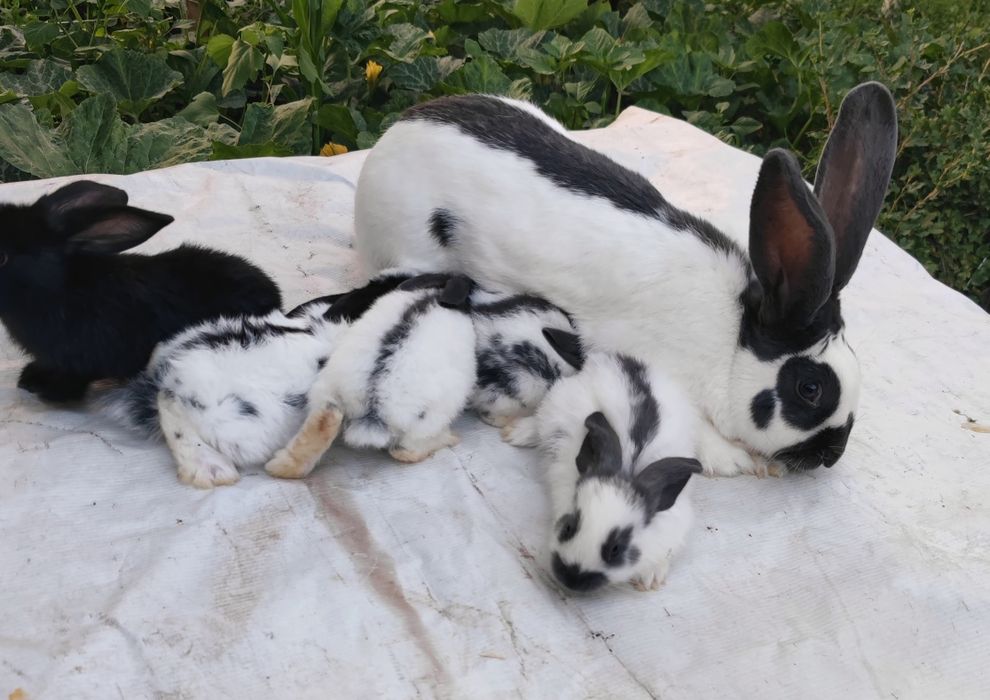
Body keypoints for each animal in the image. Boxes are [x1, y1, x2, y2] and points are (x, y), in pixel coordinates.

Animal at [264, 273, 477, 479]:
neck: (435, 294)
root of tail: (372, 408)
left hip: (327, 395)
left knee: (323, 424)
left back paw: (280, 468)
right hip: (426, 422)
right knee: (404, 452)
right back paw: (450, 439)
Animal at [503, 344, 703, 593]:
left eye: (616, 549)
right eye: (569, 527)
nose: (570, 579)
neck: (627, 468)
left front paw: (650, 578)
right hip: (554, 406)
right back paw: (515, 432)